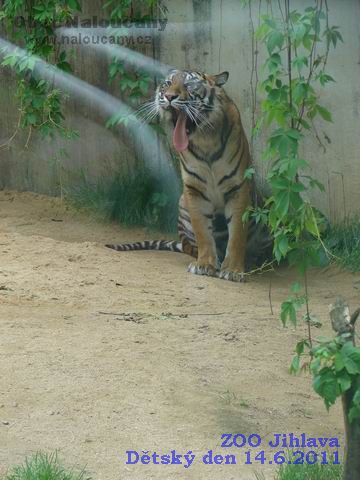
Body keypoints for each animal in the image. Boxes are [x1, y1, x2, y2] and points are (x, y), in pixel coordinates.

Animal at [105, 69, 272, 284]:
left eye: (189, 85)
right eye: (167, 83)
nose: (169, 97)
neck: (205, 139)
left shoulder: (238, 188)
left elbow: (237, 234)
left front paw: (233, 270)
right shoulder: (194, 190)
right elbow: (203, 233)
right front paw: (205, 265)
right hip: (182, 204)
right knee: (187, 246)